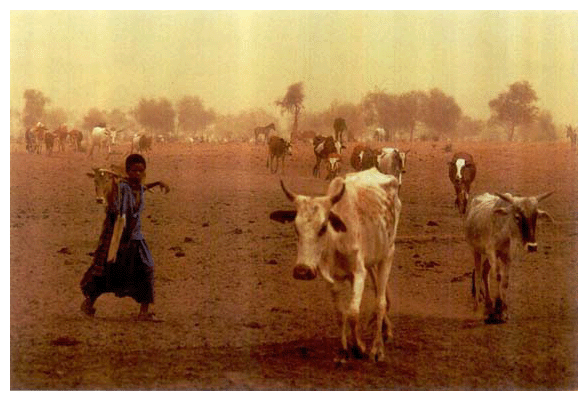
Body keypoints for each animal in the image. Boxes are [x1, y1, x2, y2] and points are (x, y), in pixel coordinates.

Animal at [270, 167, 400, 360]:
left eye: (323, 227)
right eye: (295, 228)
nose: (302, 271)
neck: (337, 239)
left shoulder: (358, 272)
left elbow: (353, 313)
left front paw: (360, 347)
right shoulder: (331, 278)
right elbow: (341, 314)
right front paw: (344, 350)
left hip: (388, 253)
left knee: (380, 301)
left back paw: (378, 347)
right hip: (371, 259)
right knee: (377, 290)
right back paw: (385, 329)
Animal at [466, 189, 552, 324]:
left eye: (535, 216)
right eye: (517, 217)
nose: (532, 246)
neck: (505, 232)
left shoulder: (507, 255)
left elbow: (505, 280)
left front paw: (504, 312)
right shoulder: (491, 252)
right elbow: (498, 276)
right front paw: (497, 310)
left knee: (485, 272)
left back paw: (488, 306)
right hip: (476, 250)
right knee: (479, 274)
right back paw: (477, 308)